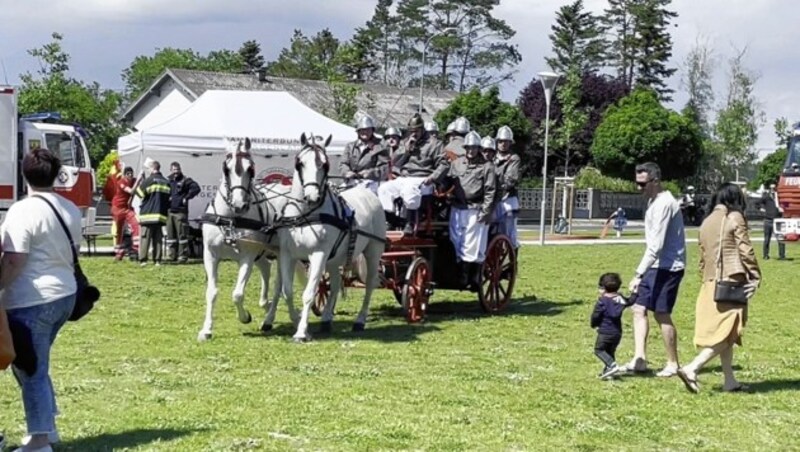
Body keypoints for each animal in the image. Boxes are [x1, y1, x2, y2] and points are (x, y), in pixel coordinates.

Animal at [197, 139, 300, 340]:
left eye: (250, 169)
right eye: (226, 169)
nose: (239, 205)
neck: (230, 218)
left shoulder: (247, 256)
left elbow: (237, 294)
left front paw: (245, 317)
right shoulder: (210, 254)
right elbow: (211, 292)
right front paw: (206, 329)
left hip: (282, 254)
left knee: (282, 286)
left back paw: (277, 317)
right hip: (262, 253)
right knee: (267, 270)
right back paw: (266, 306)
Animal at [276, 132, 388, 340]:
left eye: (325, 164)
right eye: (300, 163)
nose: (312, 196)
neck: (305, 214)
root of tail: (369, 194)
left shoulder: (318, 254)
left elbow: (309, 292)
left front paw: (301, 332)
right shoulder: (287, 254)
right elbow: (287, 291)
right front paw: (298, 323)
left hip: (373, 250)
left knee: (370, 284)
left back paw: (360, 321)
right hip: (334, 259)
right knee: (335, 284)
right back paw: (327, 319)